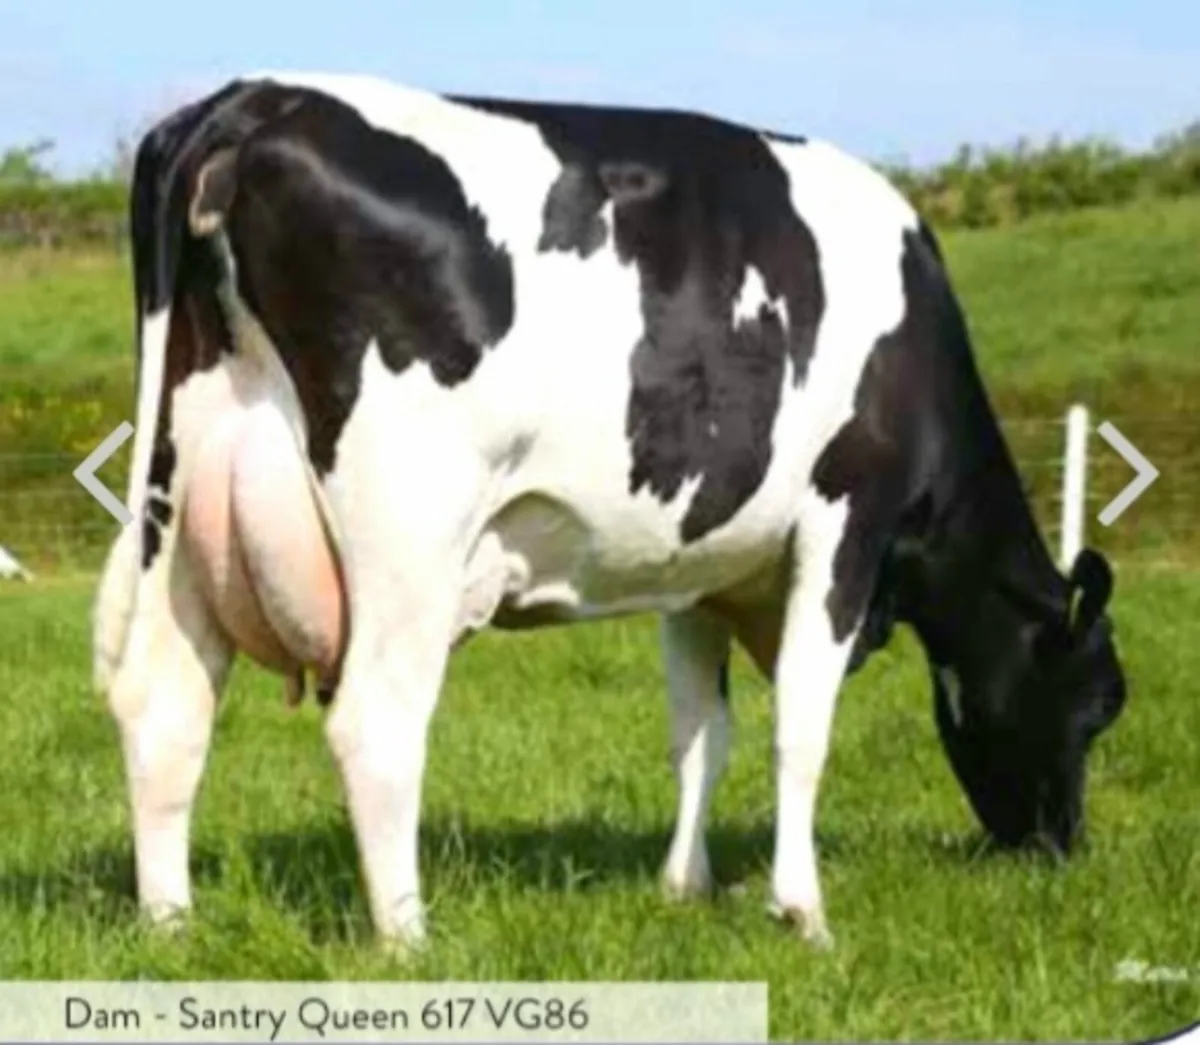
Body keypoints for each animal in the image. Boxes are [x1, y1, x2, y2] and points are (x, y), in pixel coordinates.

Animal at [93, 71, 1127, 953]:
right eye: (1099, 704)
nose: (1062, 846)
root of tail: (256, 99)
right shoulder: (846, 518)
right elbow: (801, 721)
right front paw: (803, 910)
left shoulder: (701, 568)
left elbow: (700, 732)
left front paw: (685, 886)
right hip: (410, 524)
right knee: (375, 720)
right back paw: (409, 937)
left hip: (180, 502)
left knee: (163, 705)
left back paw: (169, 925)